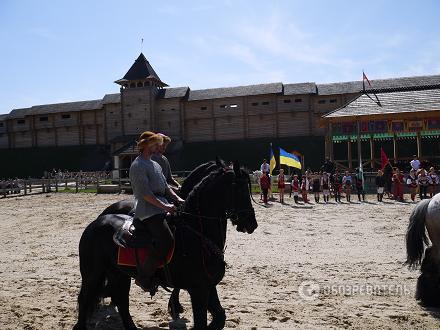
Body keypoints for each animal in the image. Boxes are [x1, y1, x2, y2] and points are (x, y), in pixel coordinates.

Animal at [74, 159, 256, 328]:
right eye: (240, 189)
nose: (251, 223)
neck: (196, 234)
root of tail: (96, 222)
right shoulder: (198, 290)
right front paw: (175, 307)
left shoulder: (209, 287)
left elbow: (220, 317)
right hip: (93, 274)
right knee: (85, 299)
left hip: (119, 274)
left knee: (121, 300)